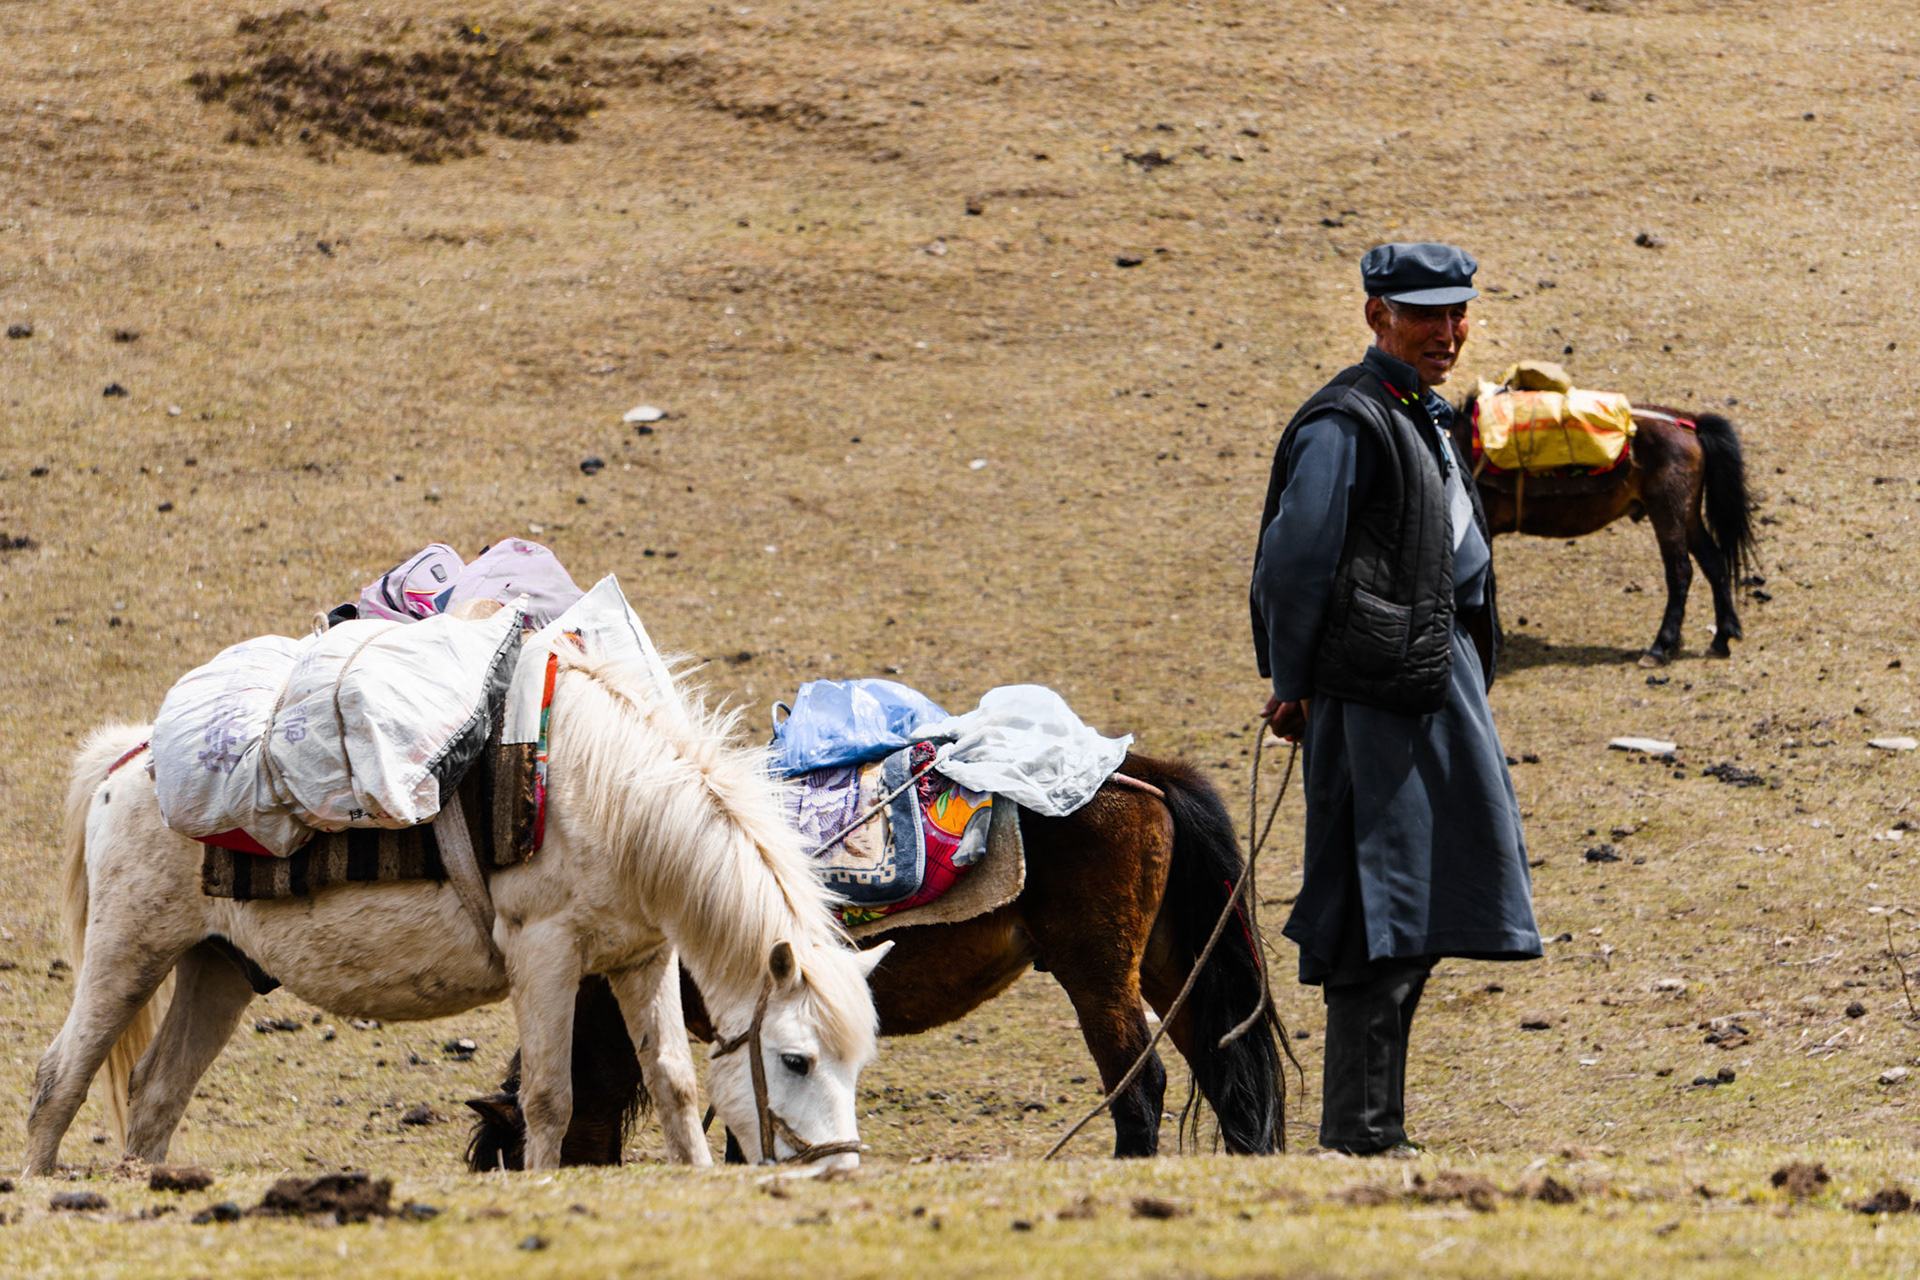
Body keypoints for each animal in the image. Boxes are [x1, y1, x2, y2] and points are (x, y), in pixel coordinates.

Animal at [24, 652, 888, 1176]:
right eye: (796, 1060)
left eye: (855, 1063)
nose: (839, 1170)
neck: (610, 798)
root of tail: (126, 762)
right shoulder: (546, 955)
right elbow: (548, 1096)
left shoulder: (642, 959)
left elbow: (673, 1082)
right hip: (129, 950)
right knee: (59, 1077)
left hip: (219, 968)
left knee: (155, 1092)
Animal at [465, 753, 1288, 1168]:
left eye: (501, 1162)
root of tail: (1142, 775)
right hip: (1171, 966)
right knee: (1229, 1070)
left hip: (1098, 975)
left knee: (1139, 1081)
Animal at [1452, 396, 1756, 666]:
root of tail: (1690, 424)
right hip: (1687, 515)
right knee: (1714, 563)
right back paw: (1721, 639)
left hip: (1668, 513)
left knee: (1681, 573)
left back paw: (1659, 648)